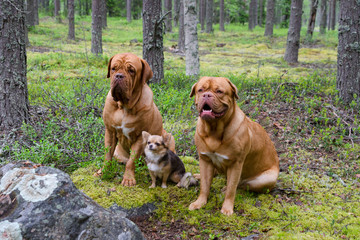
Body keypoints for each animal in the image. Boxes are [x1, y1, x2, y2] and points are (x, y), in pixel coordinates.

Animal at [100, 53, 175, 187]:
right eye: (113, 68)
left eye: (131, 70)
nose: (119, 76)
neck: (124, 107)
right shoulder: (110, 132)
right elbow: (107, 155)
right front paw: (103, 172)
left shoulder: (140, 137)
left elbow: (132, 161)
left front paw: (128, 179)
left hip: (170, 138)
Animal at [187, 76, 280, 216]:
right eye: (200, 90)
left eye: (219, 91)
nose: (206, 95)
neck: (213, 130)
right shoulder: (205, 159)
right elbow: (205, 185)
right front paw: (200, 202)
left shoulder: (235, 164)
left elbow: (232, 188)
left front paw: (227, 208)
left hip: (266, 178)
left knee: (241, 185)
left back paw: (226, 188)